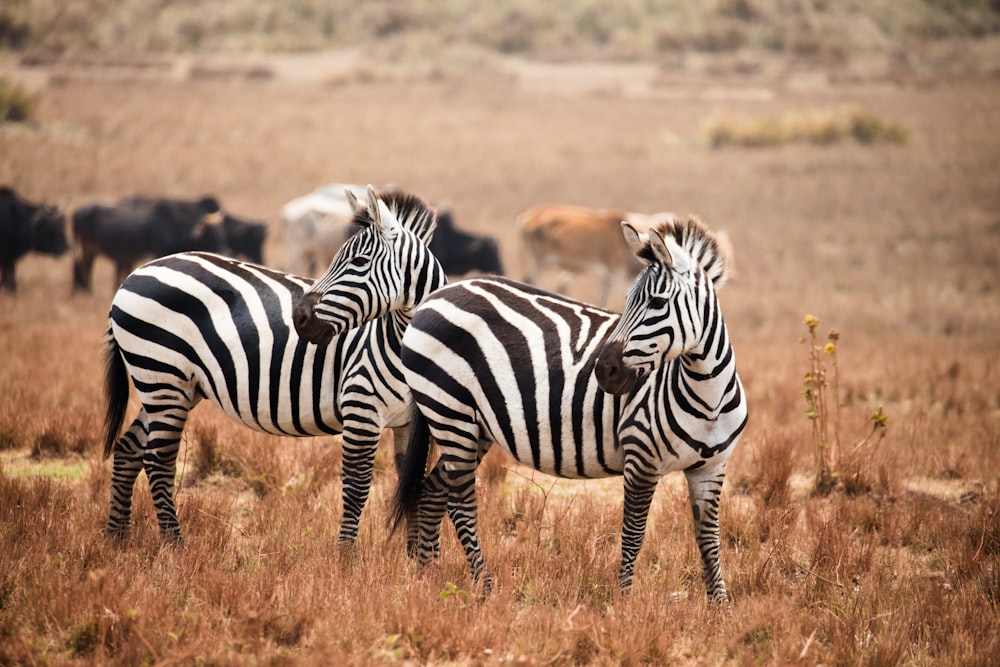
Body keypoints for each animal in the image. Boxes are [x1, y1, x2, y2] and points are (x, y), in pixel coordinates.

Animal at [73, 197, 232, 294]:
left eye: (223, 233)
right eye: (210, 235)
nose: (224, 251)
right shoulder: (159, 253)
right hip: (86, 249)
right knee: (83, 268)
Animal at [102, 185, 446, 544]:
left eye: (360, 262)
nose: (299, 317)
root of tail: (134, 275)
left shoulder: (410, 423)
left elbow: (412, 484)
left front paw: (414, 558)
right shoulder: (361, 409)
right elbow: (356, 489)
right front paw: (346, 557)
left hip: (173, 386)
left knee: (128, 449)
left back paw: (117, 539)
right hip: (162, 375)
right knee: (158, 461)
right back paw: (174, 545)